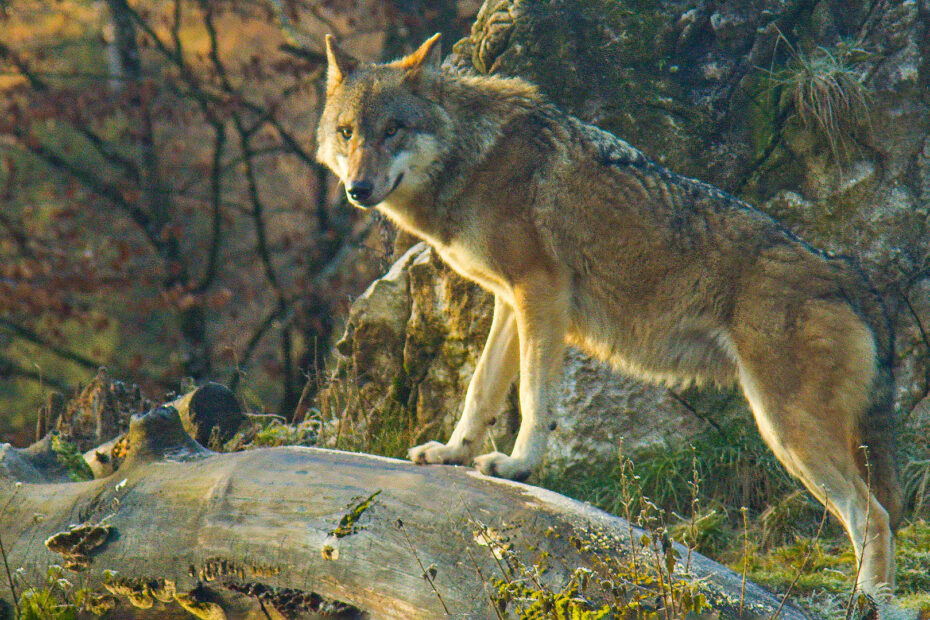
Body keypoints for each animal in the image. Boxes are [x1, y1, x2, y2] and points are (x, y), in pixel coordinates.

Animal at [316, 33, 903, 594]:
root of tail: (851, 275)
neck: (473, 157)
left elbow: (533, 397)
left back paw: (868, 601)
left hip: (785, 429)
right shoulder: (510, 301)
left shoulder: (541, 291)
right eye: (347, 132)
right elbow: (480, 390)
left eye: (393, 129)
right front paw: (454, 454)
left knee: (872, 517)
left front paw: (520, 466)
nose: (357, 190)